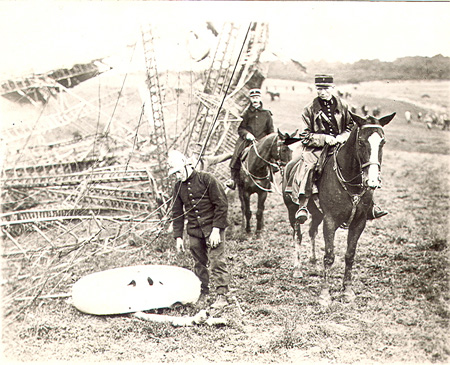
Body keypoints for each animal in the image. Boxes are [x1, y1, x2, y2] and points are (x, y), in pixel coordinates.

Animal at [284, 111, 396, 304]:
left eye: (382, 142)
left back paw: (313, 262)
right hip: (293, 211)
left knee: (311, 231)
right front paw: (325, 295)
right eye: (361, 142)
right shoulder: (330, 221)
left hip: (317, 214)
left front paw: (347, 291)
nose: (373, 181)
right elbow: (329, 256)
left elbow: (350, 255)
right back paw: (297, 269)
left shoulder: (359, 223)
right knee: (297, 235)